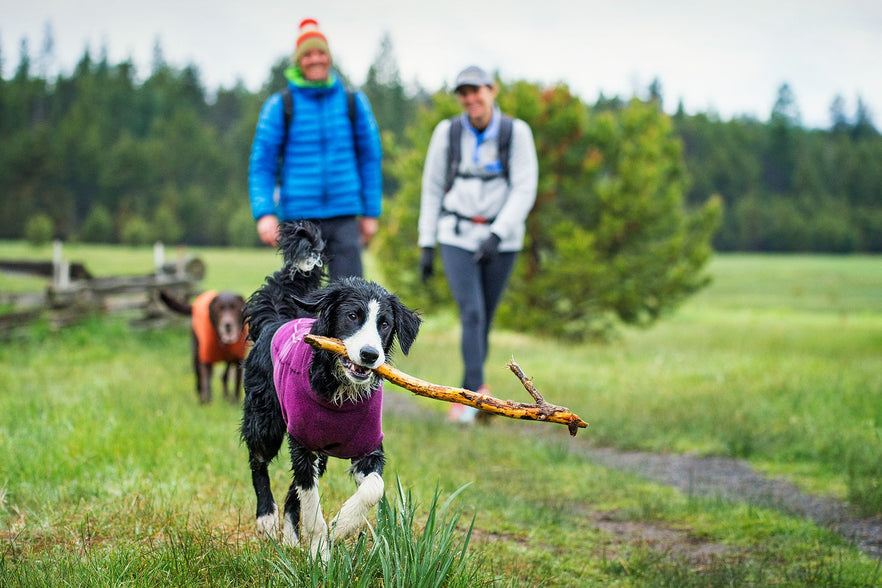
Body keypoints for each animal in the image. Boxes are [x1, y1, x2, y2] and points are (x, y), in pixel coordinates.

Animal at [239, 219, 422, 556]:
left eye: (385, 324)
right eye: (352, 316)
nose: (370, 355)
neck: (340, 394)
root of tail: (276, 321)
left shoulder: (367, 447)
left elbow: (374, 489)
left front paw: (342, 525)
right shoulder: (303, 443)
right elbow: (311, 506)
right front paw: (320, 554)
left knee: (292, 493)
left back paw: (290, 537)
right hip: (264, 419)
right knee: (258, 462)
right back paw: (267, 518)